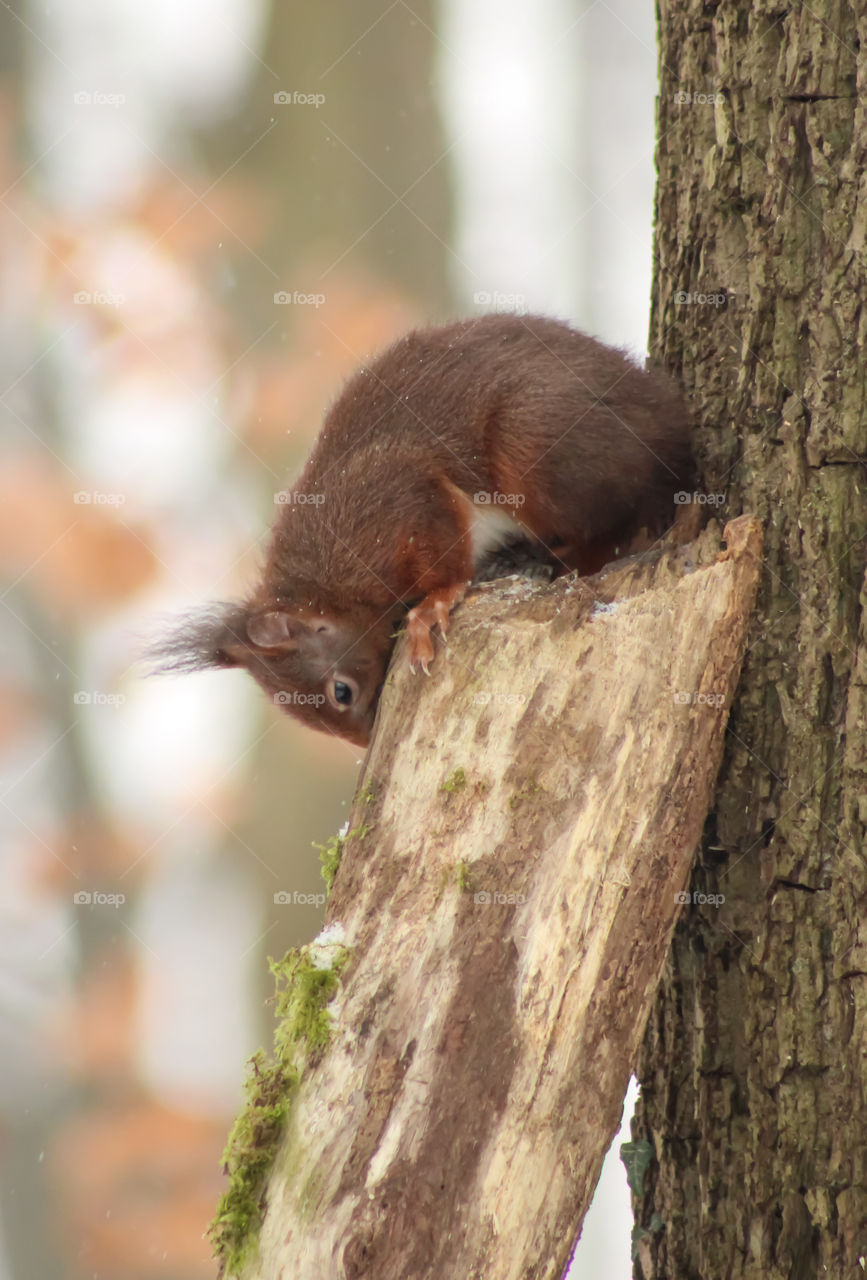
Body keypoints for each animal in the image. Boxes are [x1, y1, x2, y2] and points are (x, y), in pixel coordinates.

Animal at [148, 313, 691, 747]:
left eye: (340, 692)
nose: (366, 744)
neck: (330, 579)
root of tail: (666, 420)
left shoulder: (397, 497)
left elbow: (446, 556)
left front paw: (433, 604)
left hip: (535, 443)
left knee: (607, 525)